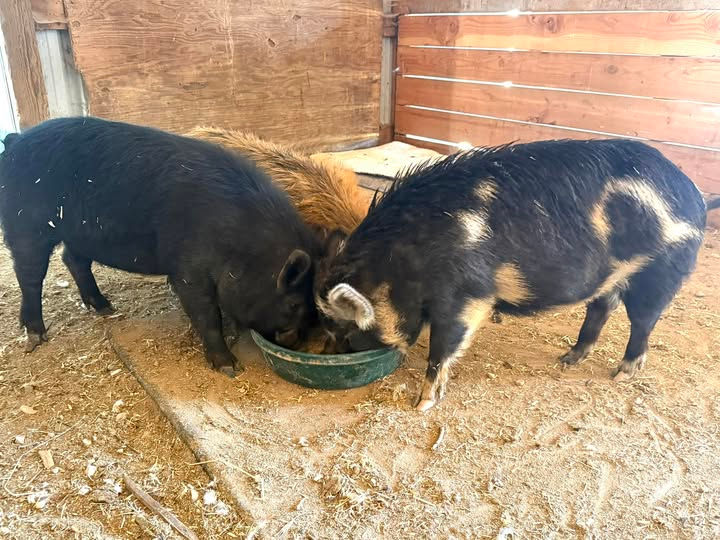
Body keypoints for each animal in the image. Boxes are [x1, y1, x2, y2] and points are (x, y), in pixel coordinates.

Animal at [0, 117, 326, 376]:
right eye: (293, 303)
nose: (296, 341)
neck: (242, 248)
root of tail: (14, 142)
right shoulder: (188, 269)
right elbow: (206, 313)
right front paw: (229, 368)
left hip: (78, 233)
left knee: (73, 260)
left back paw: (105, 308)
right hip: (26, 226)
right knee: (30, 275)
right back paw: (36, 337)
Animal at [315, 139, 718, 411]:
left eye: (346, 328)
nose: (328, 352)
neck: (398, 264)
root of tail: (695, 195)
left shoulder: (464, 294)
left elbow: (443, 348)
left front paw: (422, 404)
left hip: (661, 268)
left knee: (643, 322)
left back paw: (622, 373)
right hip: (613, 276)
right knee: (601, 308)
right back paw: (567, 359)